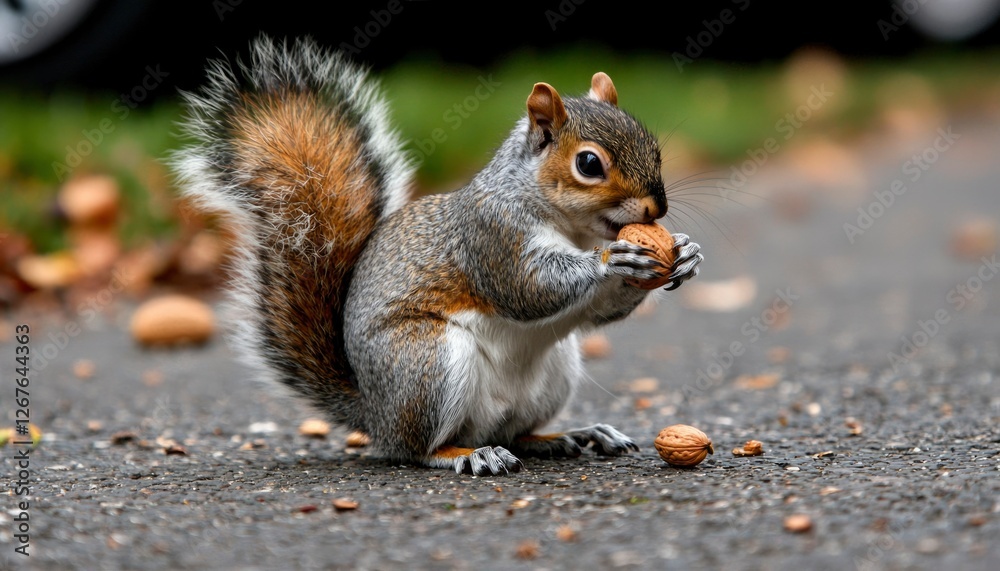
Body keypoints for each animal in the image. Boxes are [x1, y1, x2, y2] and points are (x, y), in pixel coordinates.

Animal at [170, 36, 703, 476]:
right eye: (589, 163)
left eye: (654, 148)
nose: (656, 209)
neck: (572, 227)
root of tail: (374, 414)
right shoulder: (491, 238)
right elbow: (527, 288)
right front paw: (613, 259)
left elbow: (600, 311)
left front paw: (685, 253)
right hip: (426, 364)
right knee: (419, 449)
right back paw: (469, 454)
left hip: (554, 369)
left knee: (516, 432)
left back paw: (569, 435)